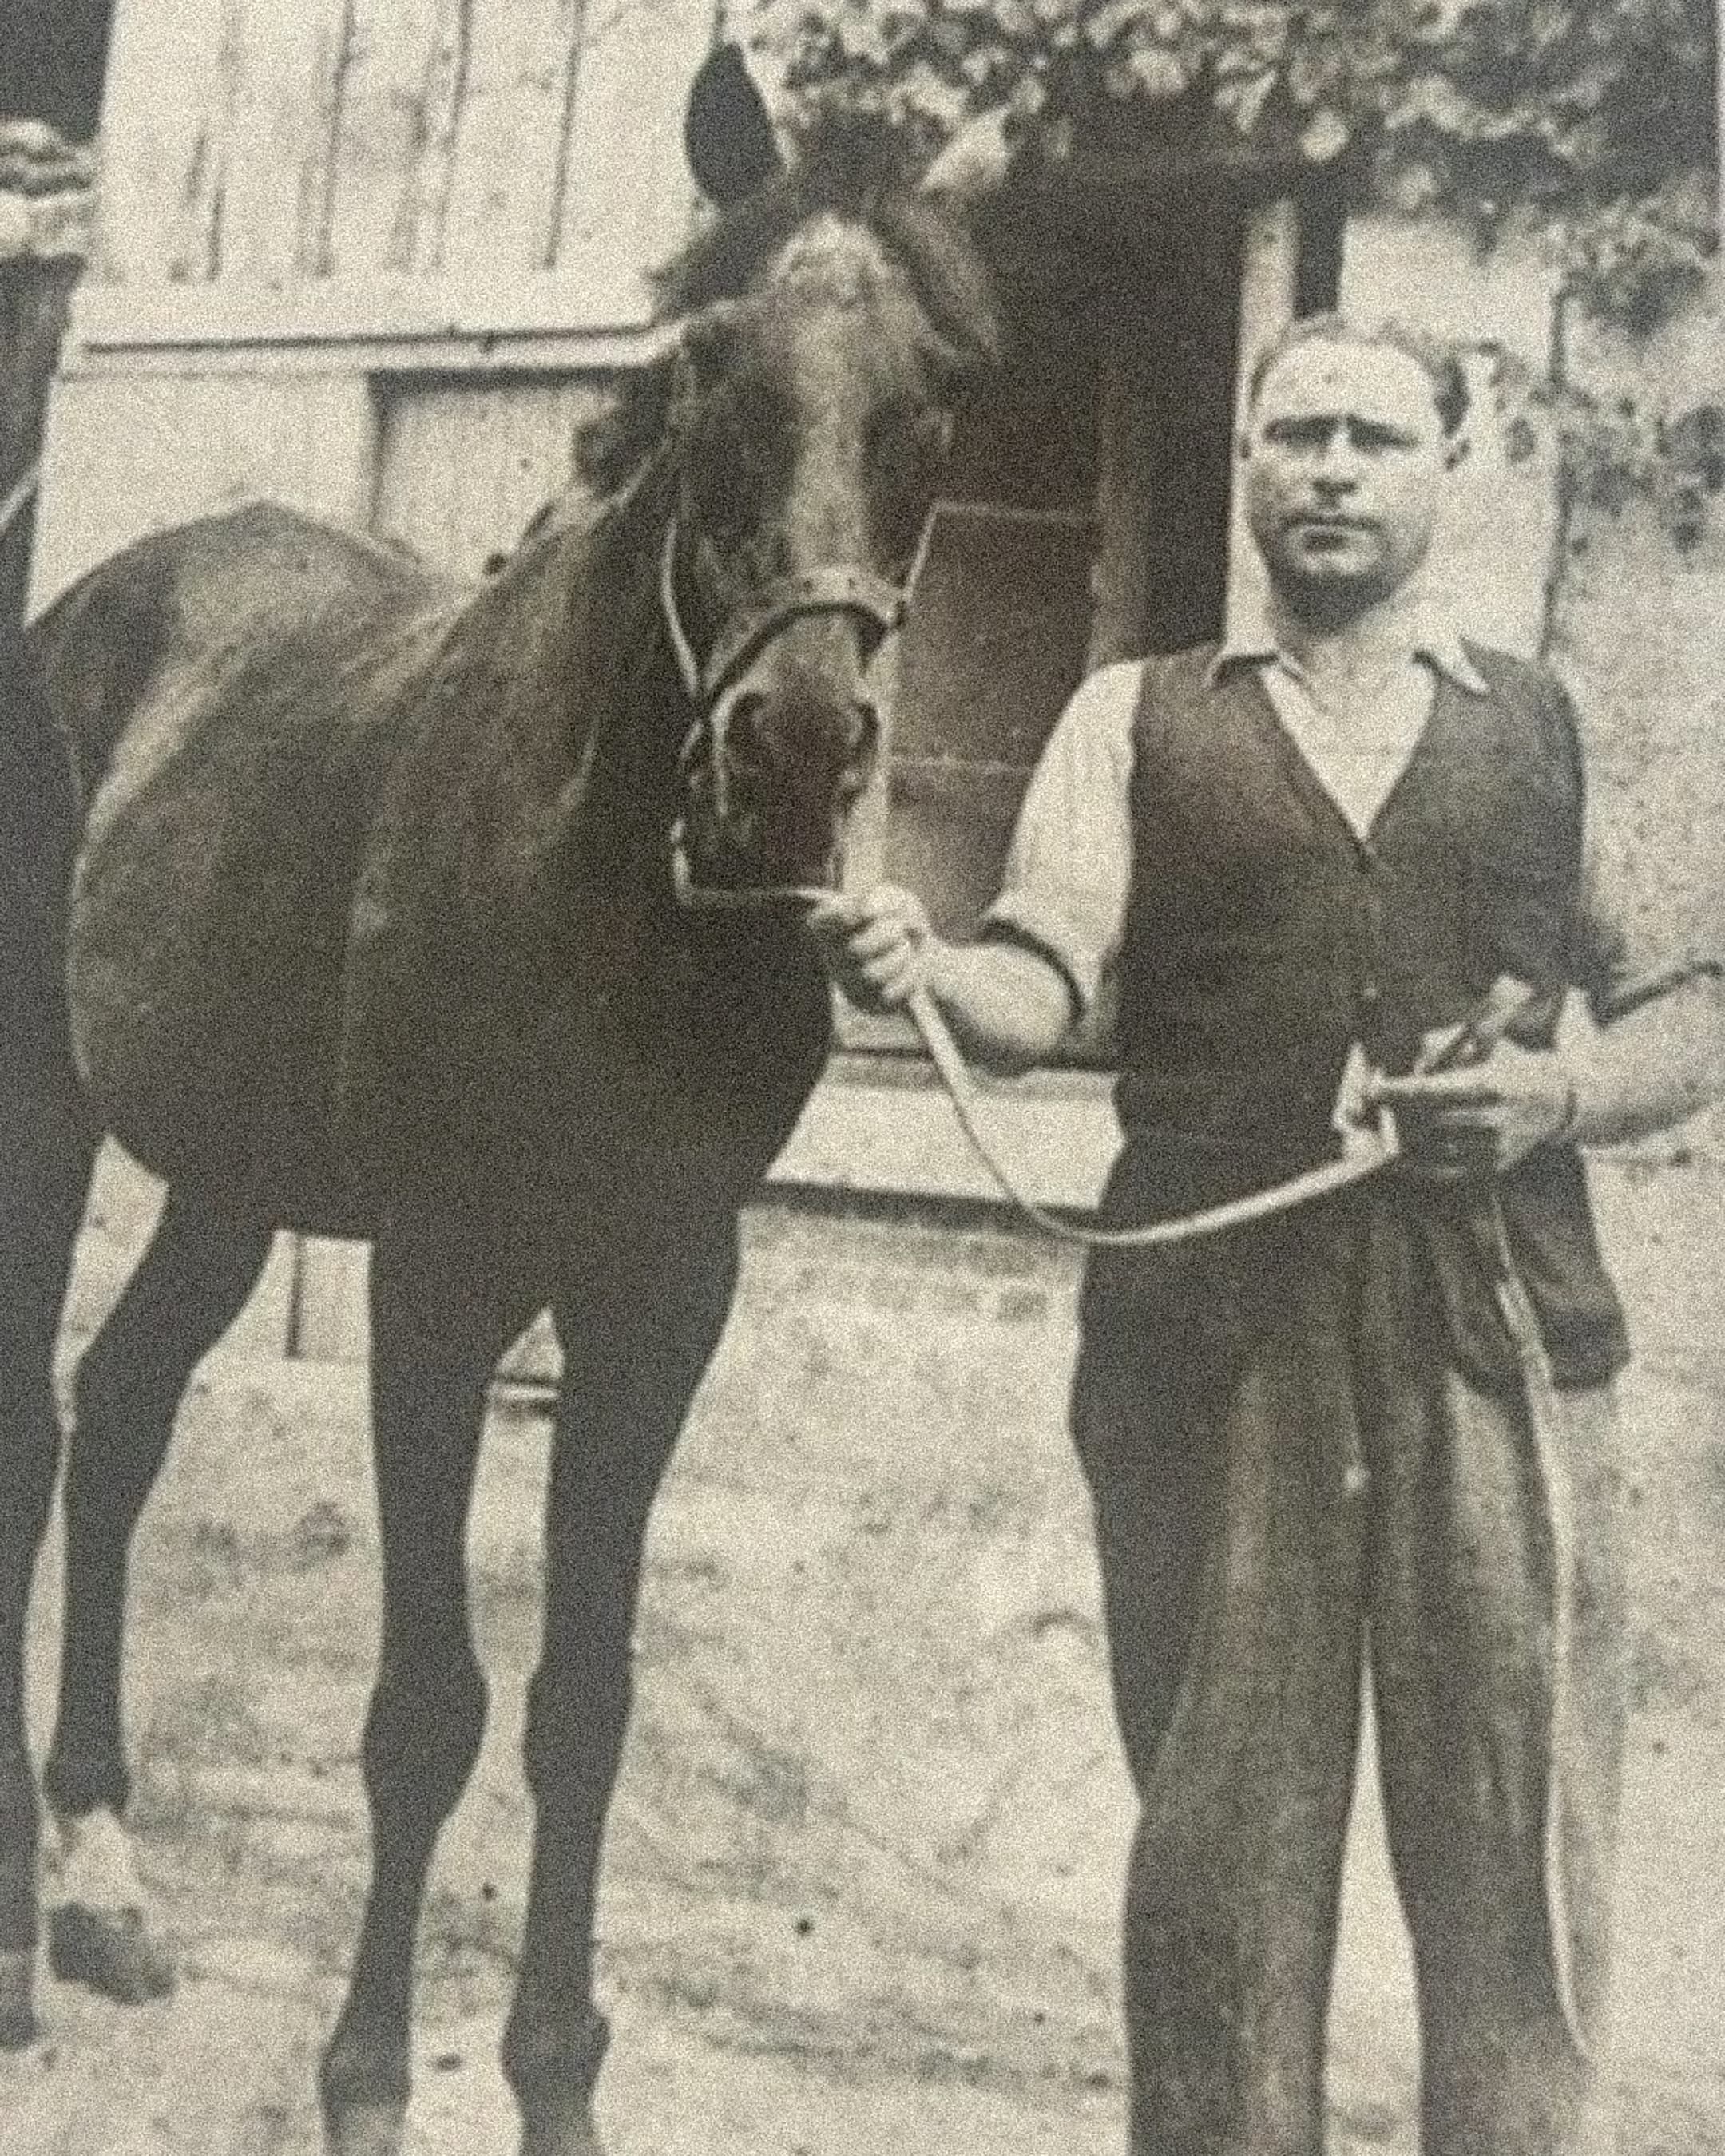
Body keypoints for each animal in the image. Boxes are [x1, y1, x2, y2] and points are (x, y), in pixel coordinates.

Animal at [0, 49, 1002, 2156]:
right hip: (45, 1123)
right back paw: (27, 1944)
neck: (603, 872)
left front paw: (555, 2083)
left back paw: (106, 1880)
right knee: (36, 1436)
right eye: (706, 362)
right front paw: (368, 2081)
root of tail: (95, 604)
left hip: (230, 1180)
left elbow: (580, 1704)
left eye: (942, 389)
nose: (789, 756)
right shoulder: (441, 1282)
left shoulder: (660, 1291)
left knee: (117, 1420)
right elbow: (427, 1708)